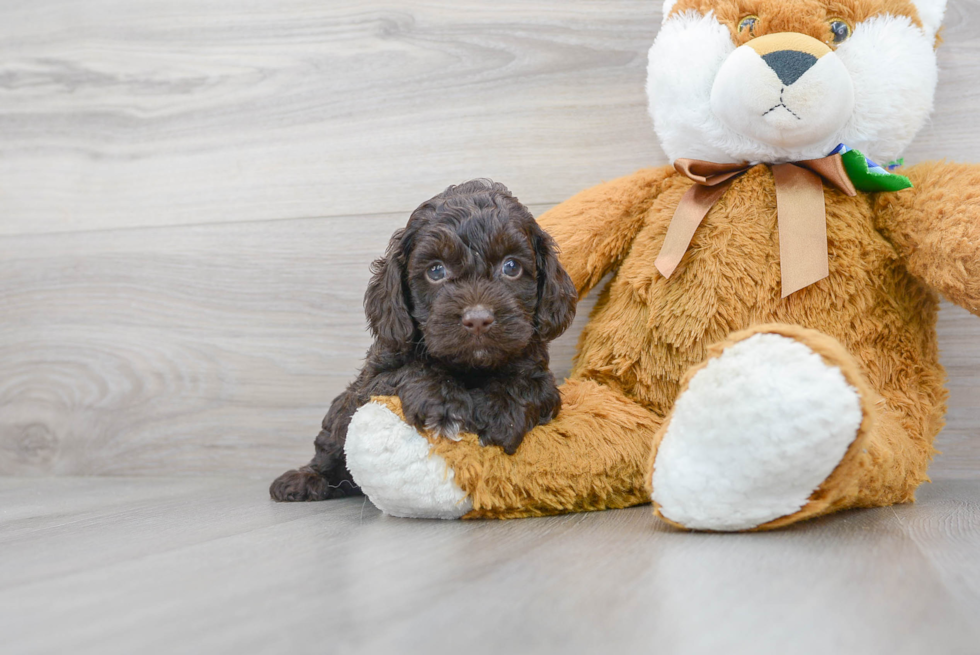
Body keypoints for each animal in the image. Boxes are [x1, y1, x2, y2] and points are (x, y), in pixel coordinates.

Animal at [270, 179, 576, 502]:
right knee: (329, 443)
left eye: (511, 267)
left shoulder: (538, 371)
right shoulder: (373, 378)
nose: (478, 319)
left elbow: (528, 385)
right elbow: (412, 370)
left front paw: (502, 411)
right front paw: (443, 403)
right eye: (436, 271)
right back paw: (305, 480)